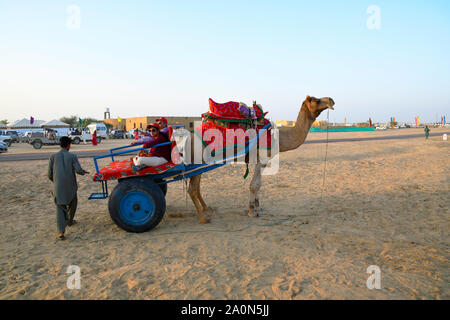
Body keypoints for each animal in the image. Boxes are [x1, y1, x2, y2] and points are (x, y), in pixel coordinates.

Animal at [185, 95, 334, 222]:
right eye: (316, 100)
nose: (331, 100)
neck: (278, 137)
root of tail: (187, 139)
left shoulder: (261, 160)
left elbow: (259, 184)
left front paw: (258, 206)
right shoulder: (262, 158)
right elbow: (254, 185)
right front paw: (252, 211)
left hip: (199, 164)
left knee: (196, 187)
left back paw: (207, 209)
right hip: (197, 159)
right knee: (192, 189)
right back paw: (203, 218)